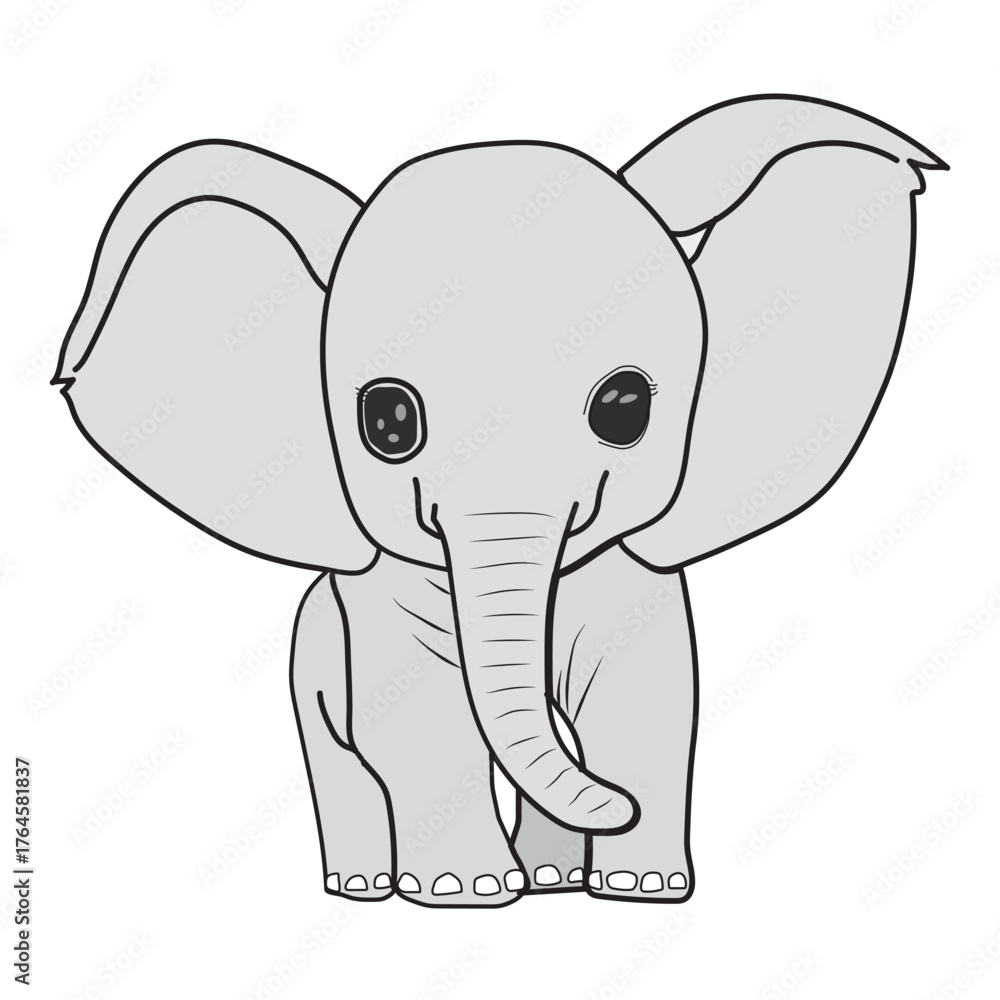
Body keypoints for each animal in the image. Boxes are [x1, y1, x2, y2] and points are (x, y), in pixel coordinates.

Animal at [54, 94, 945, 907]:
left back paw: (550, 881)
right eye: (388, 421)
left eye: (625, 406)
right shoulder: (382, 600)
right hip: (310, 666)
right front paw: (466, 893)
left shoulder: (632, 578)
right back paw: (367, 887)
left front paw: (642, 888)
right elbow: (418, 717)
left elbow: (649, 704)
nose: (616, 809)